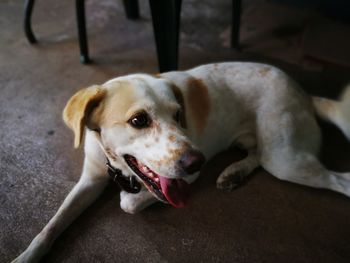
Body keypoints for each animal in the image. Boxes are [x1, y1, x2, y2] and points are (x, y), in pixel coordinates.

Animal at [13, 63, 350, 262]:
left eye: (178, 115)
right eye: (138, 120)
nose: (197, 161)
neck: (118, 166)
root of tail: (305, 92)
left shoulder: (184, 180)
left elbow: (129, 203)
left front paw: (130, 197)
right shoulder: (90, 180)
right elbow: (52, 224)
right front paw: (26, 255)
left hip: (285, 159)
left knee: (340, 180)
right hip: (266, 151)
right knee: (255, 155)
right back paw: (234, 172)